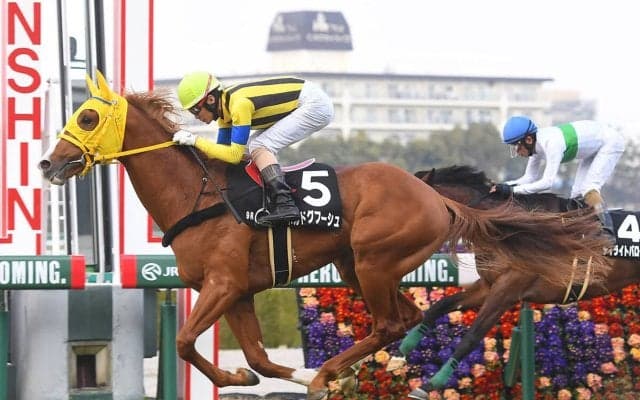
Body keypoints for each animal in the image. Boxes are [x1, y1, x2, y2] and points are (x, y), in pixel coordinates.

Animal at [38, 72, 611, 400]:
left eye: (87, 115)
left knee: (387, 324)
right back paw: (348, 372)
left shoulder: (223, 285)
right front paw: (247, 380)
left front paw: (279, 379)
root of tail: (436, 196)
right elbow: (256, 358)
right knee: (405, 319)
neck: (199, 196)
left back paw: (327, 374)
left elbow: (182, 341)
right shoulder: (237, 291)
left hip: (374, 259)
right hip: (358, 266)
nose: (48, 163)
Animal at [399, 165, 636, 398]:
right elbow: (439, 306)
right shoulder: (488, 285)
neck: (505, 228)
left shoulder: (507, 291)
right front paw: (400, 352)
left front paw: (429, 384)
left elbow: (472, 336)